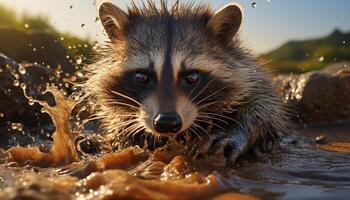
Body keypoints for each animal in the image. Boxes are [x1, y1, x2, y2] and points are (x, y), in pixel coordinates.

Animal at [83, 0, 292, 166]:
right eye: (141, 77)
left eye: (192, 77)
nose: (166, 122)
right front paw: (126, 133)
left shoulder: (250, 73)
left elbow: (265, 105)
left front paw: (239, 131)